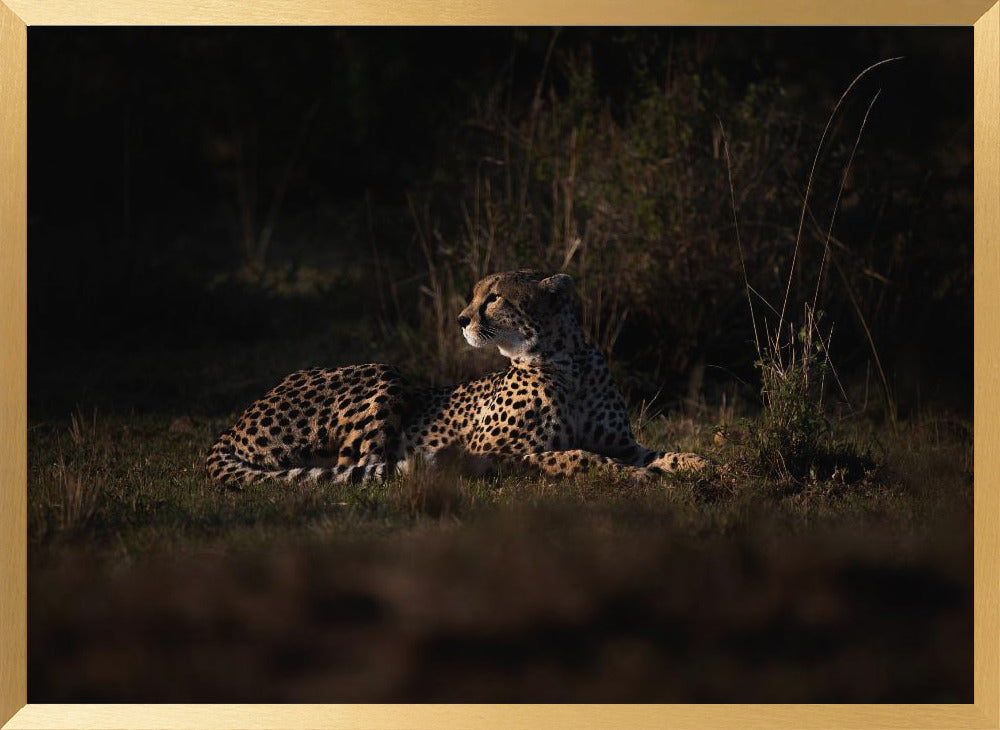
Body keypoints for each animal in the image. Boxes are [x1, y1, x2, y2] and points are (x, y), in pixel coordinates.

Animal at [205, 270, 708, 487]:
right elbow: (576, 455)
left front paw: (701, 465)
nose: (462, 319)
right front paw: (633, 476)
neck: (567, 363)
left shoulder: (622, 441)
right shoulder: (491, 451)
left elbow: (660, 452)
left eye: (495, 297)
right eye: (474, 294)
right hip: (384, 371)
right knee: (359, 466)